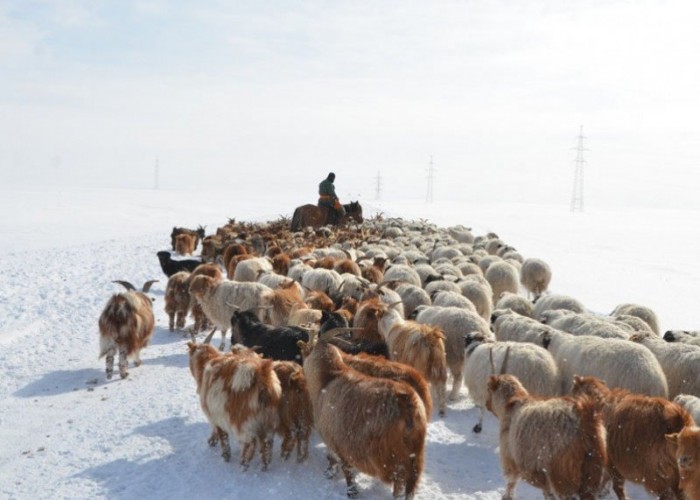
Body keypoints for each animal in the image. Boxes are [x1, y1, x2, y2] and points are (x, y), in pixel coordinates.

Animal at [189, 338, 284, 470]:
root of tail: (262, 376)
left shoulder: (216, 415)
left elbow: (223, 436)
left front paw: (224, 454)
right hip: (269, 422)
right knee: (266, 443)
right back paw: (265, 464)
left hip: (242, 423)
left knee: (250, 442)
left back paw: (244, 462)